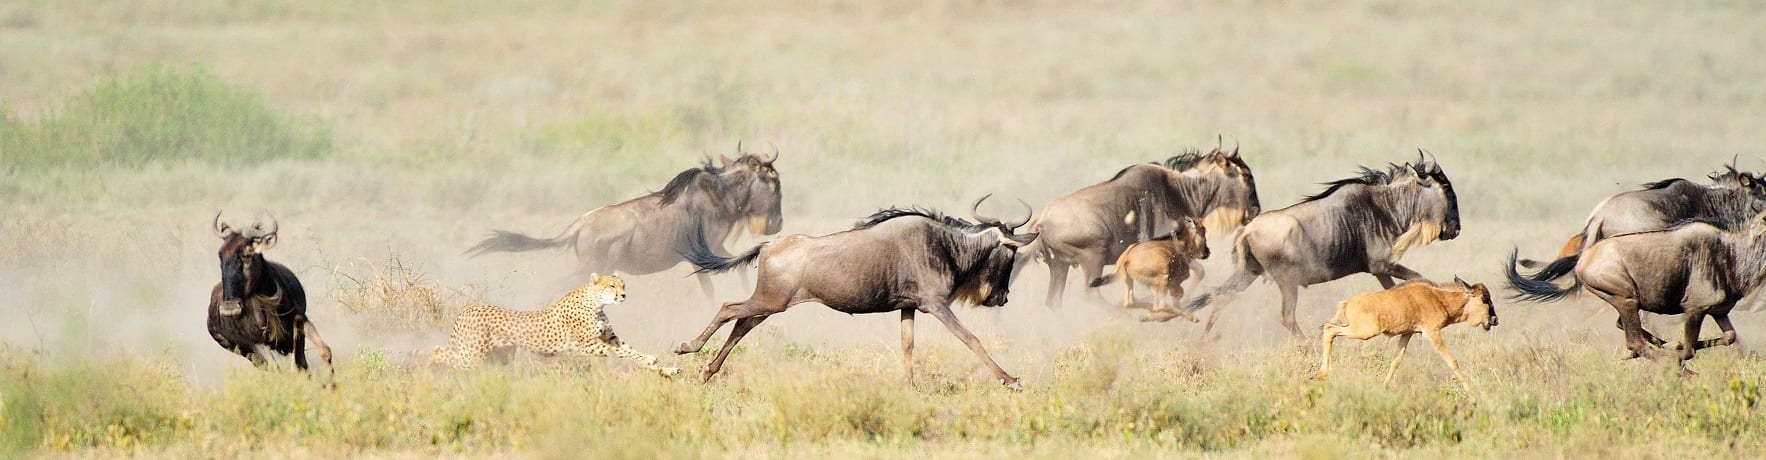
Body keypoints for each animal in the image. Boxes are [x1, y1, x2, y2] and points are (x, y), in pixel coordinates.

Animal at [427, 272, 674, 376]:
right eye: (611, 286)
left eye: (623, 285)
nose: (623, 295)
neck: (595, 303)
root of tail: (468, 308)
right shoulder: (589, 345)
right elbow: (621, 353)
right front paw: (651, 362)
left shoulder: (610, 337)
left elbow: (631, 350)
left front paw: (663, 367)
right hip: (472, 357)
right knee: (437, 351)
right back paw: (428, 367)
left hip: (500, 357)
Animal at [1320, 277, 1497, 389]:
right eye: (1484, 299)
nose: (1495, 320)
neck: (1439, 298)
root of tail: (1346, 303)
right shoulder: (1432, 333)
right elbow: (1452, 360)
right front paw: (1473, 397)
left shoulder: (1408, 333)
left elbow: (1396, 361)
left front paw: (1384, 386)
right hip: (1364, 331)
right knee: (1329, 329)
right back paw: (1323, 373)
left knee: (1329, 328)